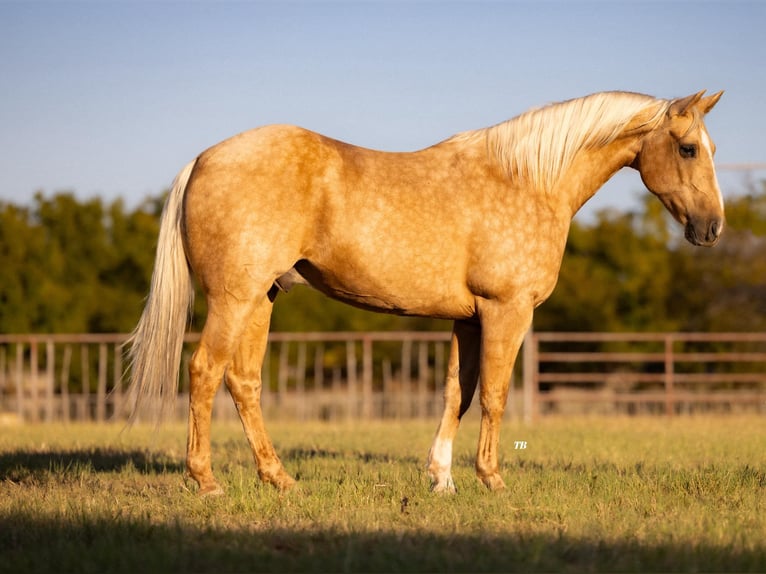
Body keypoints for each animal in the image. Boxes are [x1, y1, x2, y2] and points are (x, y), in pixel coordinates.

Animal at [126, 90, 724, 495]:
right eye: (689, 149)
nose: (713, 228)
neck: (528, 181)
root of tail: (204, 158)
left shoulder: (468, 318)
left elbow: (457, 393)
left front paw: (442, 479)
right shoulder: (507, 312)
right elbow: (495, 395)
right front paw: (491, 479)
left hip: (260, 298)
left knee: (243, 382)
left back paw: (280, 479)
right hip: (234, 299)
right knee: (204, 371)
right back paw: (206, 481)